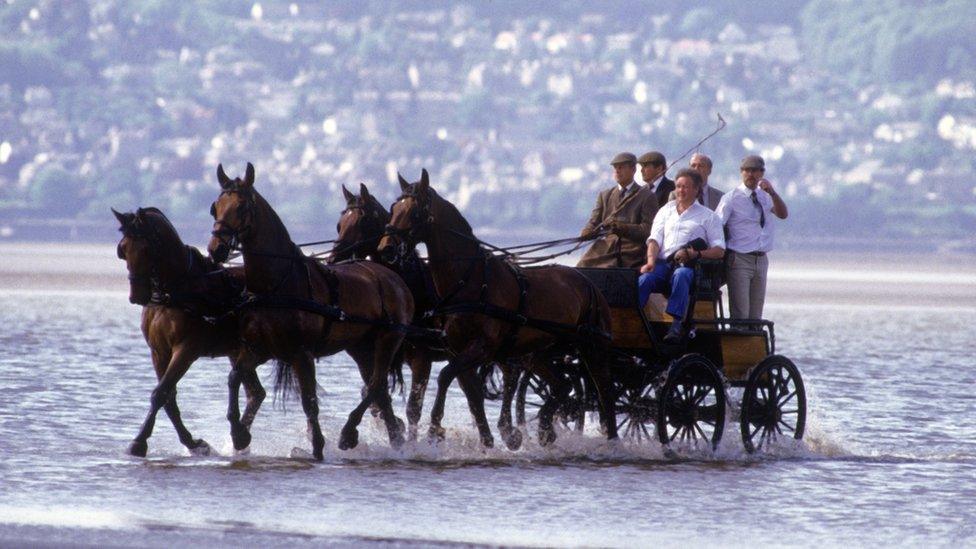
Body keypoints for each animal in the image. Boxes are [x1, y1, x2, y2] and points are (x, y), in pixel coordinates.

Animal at [114, 206, 266, 454]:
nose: (136, 295)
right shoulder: (158, 352)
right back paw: (240, 437)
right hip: (237, 351)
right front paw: (193, 442)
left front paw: (139, 441)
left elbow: (161, 393)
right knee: (256, 393)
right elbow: (168, 397)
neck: (176, 293)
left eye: (146, 249)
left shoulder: (186, 350)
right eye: (123, 248)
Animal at [208, 163, 414, 458]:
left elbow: (309, 402)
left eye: (242, 206)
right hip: (361, 347)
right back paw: (394, 439)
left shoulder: (300, 354)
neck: (277, 283)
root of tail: (392, 276)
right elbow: (234, 377)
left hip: (388, 339)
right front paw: (239, 434)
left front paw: (317, 446)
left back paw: (349, 433)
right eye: (216, 207)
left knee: (375, 386)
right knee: (380, 392)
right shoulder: (258, 349)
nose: (216, 250)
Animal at [330, 184, 528, 450]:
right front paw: (398, 432)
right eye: (340, 224)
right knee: (476, 388)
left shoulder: (420, 357)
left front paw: (412, 438)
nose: (332, 258)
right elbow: (379, 392)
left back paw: (508, 432)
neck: (411, 284)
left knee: (510, 377)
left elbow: (412, 406)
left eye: (362, 220)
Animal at [376, 169, 616, 444]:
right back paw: (545, 427)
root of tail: (587, 282)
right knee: (562, 386)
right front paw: (488, 439)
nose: (386, 248)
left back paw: (611, 439)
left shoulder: (481, 346)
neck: (470, 279)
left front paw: (435, 428)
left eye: (414, 211)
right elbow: (471, 393)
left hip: (593, 347)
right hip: (539, 350)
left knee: (605, 391)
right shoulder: (459, 349)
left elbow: (446, 376)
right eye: (394, 208)